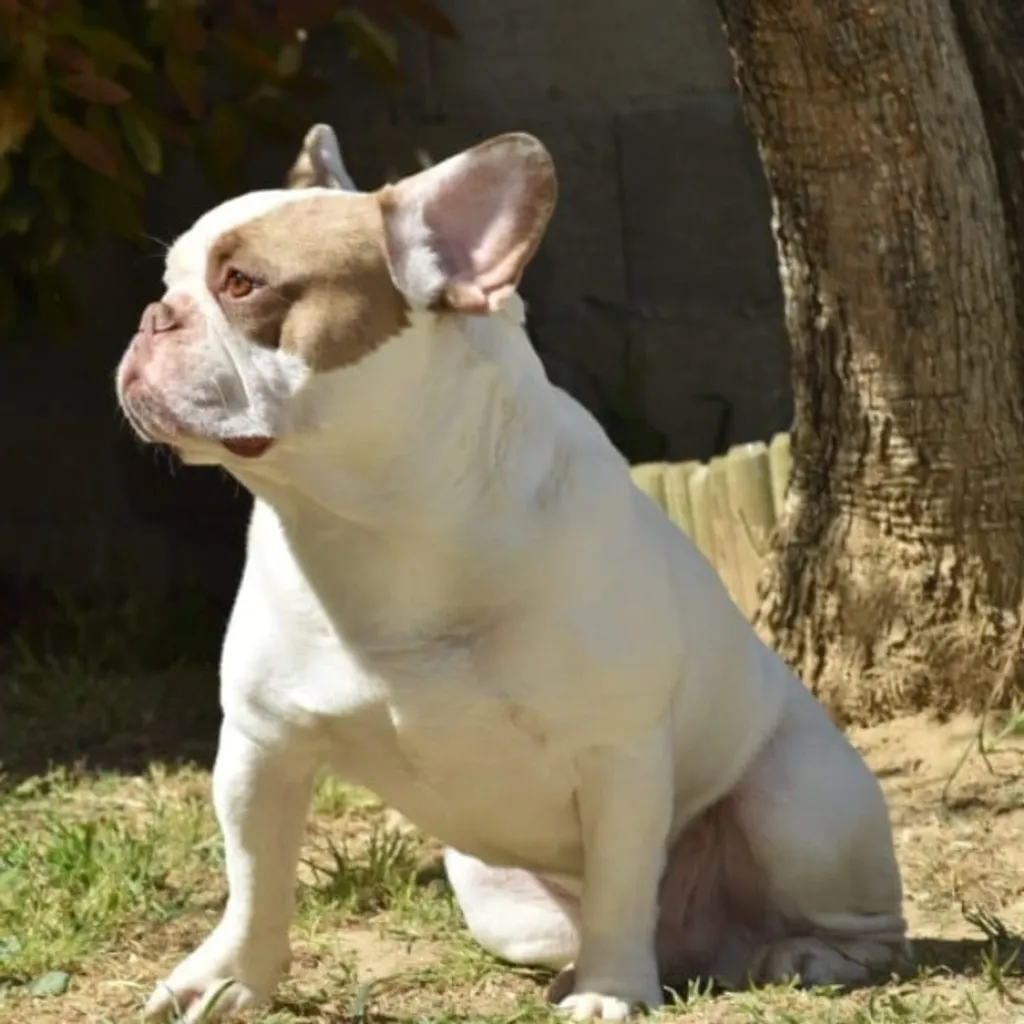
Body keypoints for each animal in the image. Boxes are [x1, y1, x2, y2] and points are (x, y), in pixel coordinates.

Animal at [116, 123, 909, 1019]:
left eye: (243, 284)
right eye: (171, 283)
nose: (152, 317)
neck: (378, 521)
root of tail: (715, 945)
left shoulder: (619, 756)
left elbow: (622, 884)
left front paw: (608, 993)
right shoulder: (262, 748)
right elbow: (254, 881)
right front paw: (227, 980)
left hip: (797, 801)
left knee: (859, 923)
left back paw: (807, 954)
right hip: (493, 893)